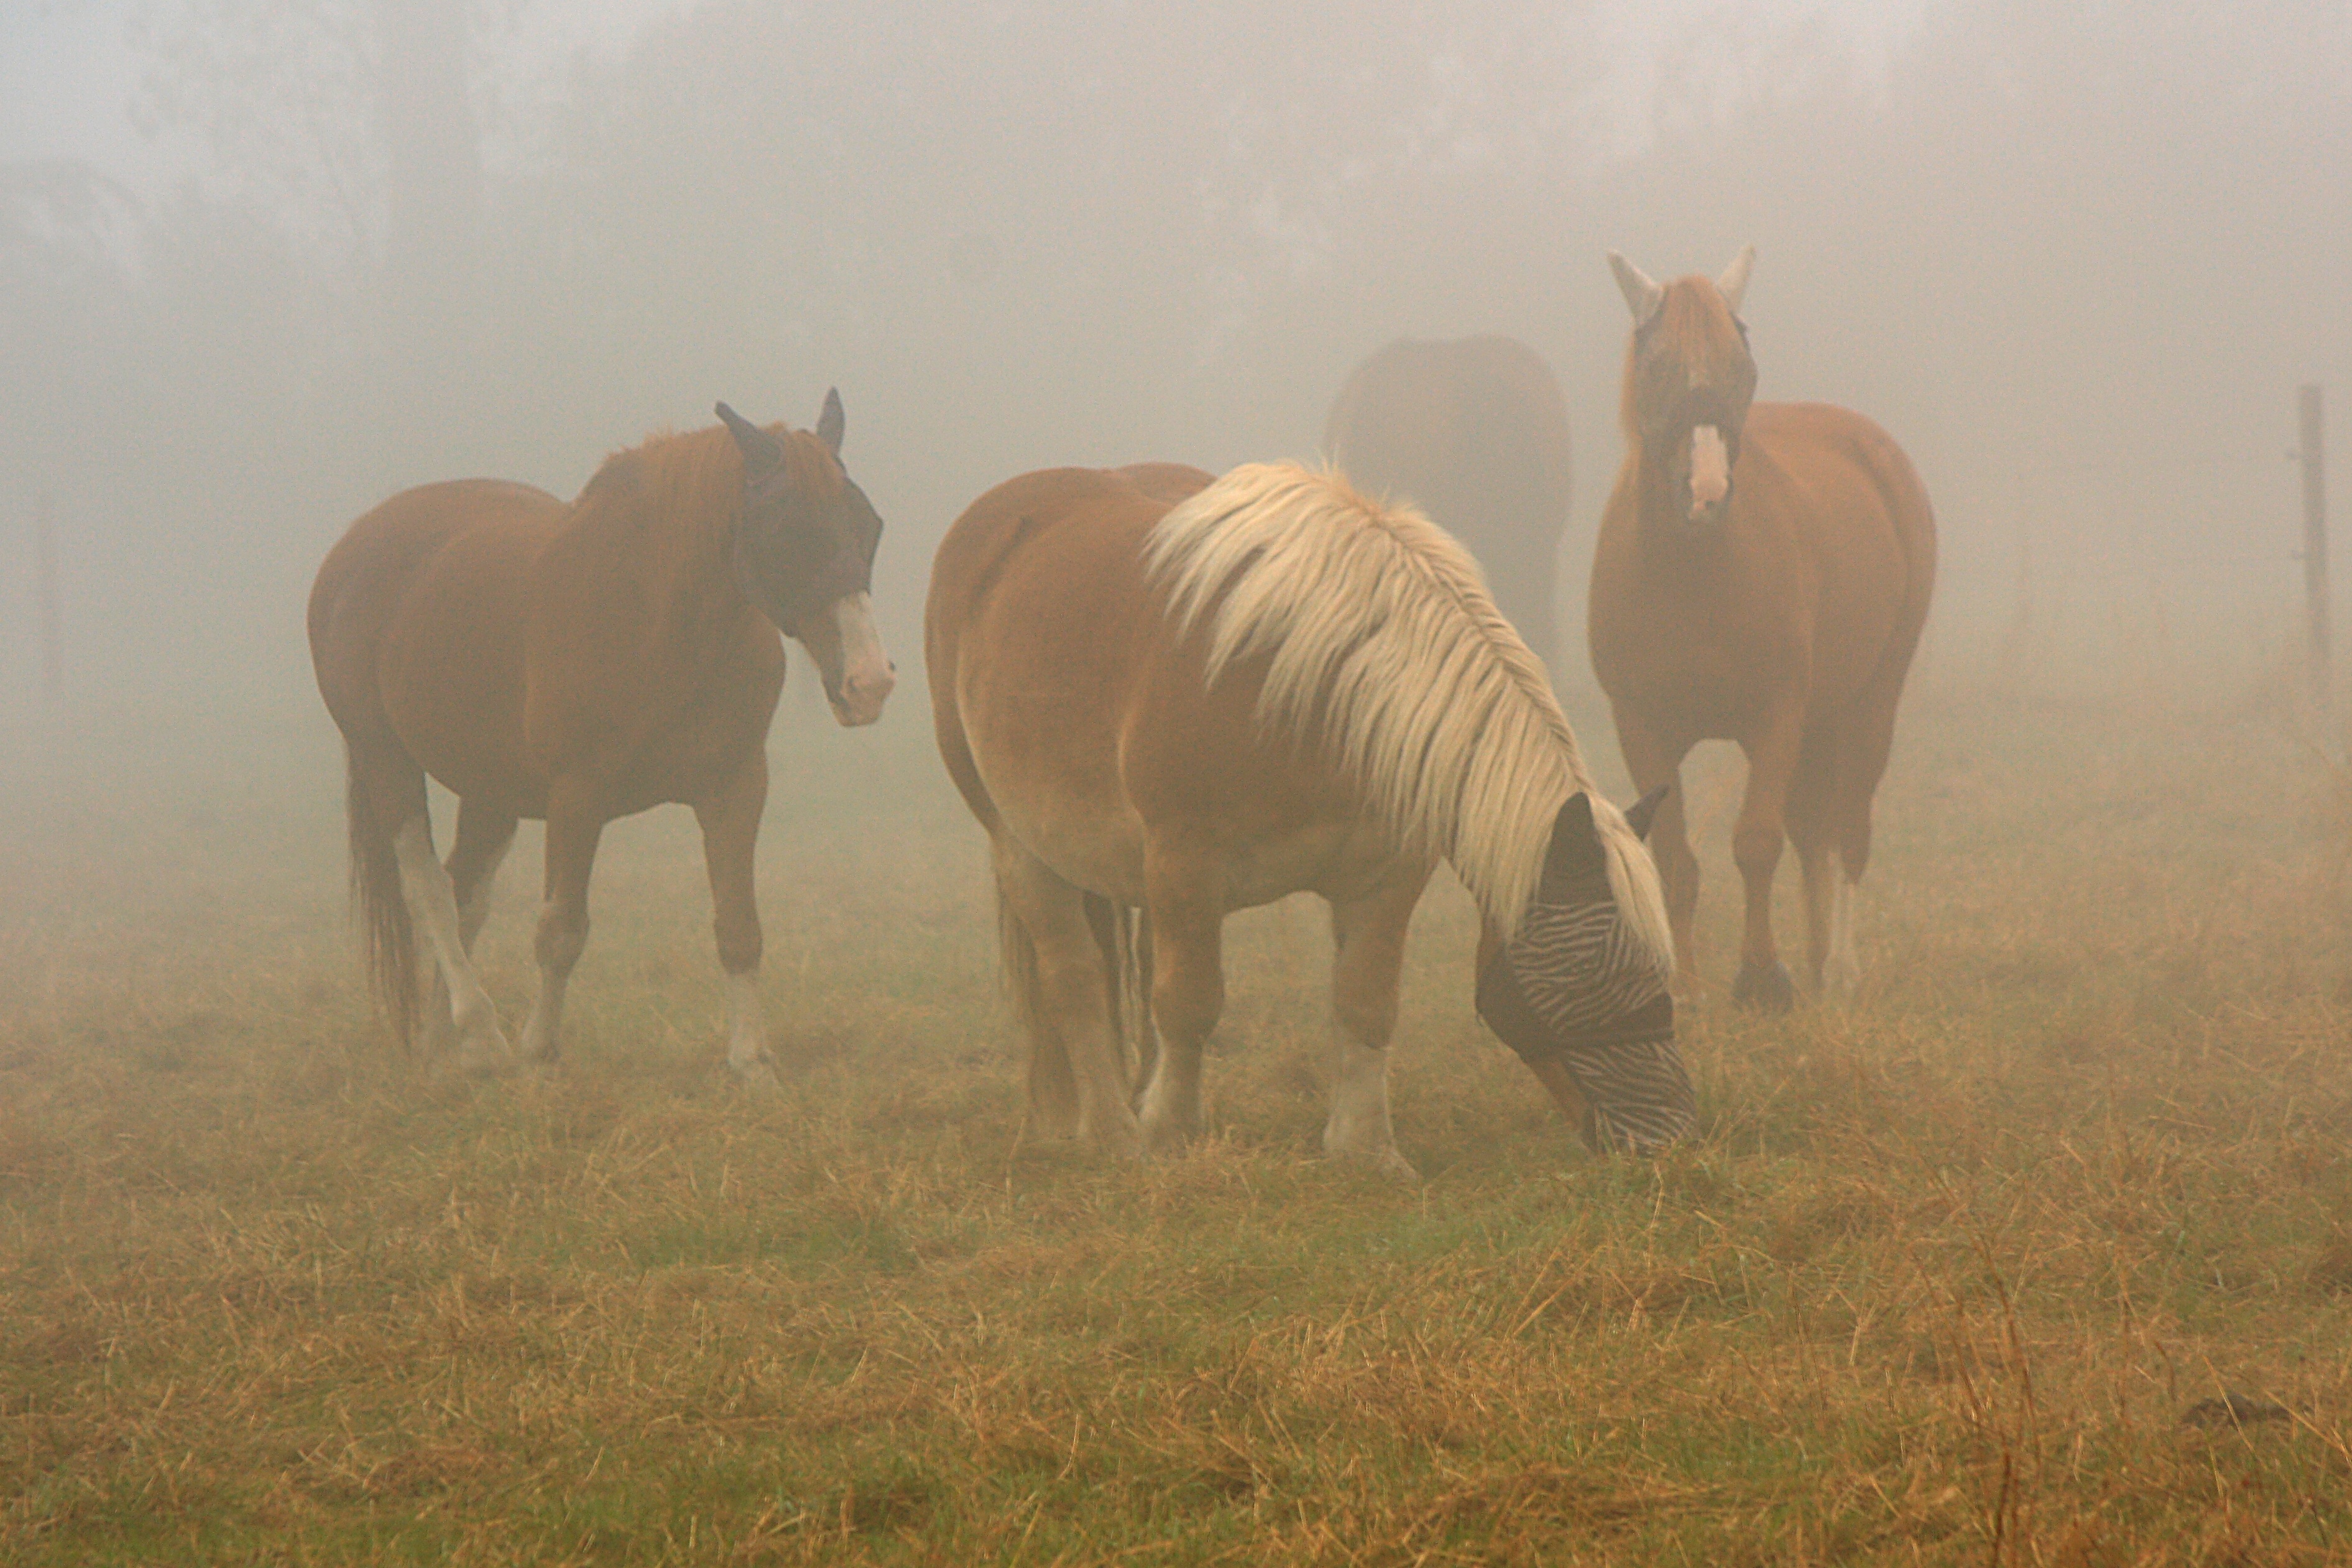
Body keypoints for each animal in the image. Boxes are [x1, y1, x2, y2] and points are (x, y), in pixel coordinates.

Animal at [308, 392, 893, 1081]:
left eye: (870, 525)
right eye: (786, 530)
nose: (869, 682)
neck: (656, 619)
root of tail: (355, 546)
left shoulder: (737, 786)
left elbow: (738, 925)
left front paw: (752, 1062)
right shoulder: (577, 797)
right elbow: (560, 932)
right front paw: (539, 1054)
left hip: (490, 790)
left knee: (465, 892)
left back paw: (446, 1047)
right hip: (386, 758)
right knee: (430, 891)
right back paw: (483, 1033)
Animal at [921, 461, 1693, 1170]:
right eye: (1594, 978)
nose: (1665, 1136)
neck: (1323, 694)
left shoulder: (1384, 878)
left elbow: (1365, 1003)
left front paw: (1366, 1149)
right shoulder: (1184, 865)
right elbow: (1189, 1003)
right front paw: (1169, 1136)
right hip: (1021, 844)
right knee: (1077, 979)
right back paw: (1115, 1131)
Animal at [1590, 246, 1938, 1006]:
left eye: (1743, 369)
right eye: (1656, 367)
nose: (1707, 494)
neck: (1693, 577)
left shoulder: (1776, 716)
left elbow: (1756, 843)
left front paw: (1760, 979)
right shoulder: (1641, 726)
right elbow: (1676, 857)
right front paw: (1685, 989)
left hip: (1869, 705)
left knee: (1845, 831)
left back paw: (1837, 969)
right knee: (1814, 832)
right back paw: (1814, 960)